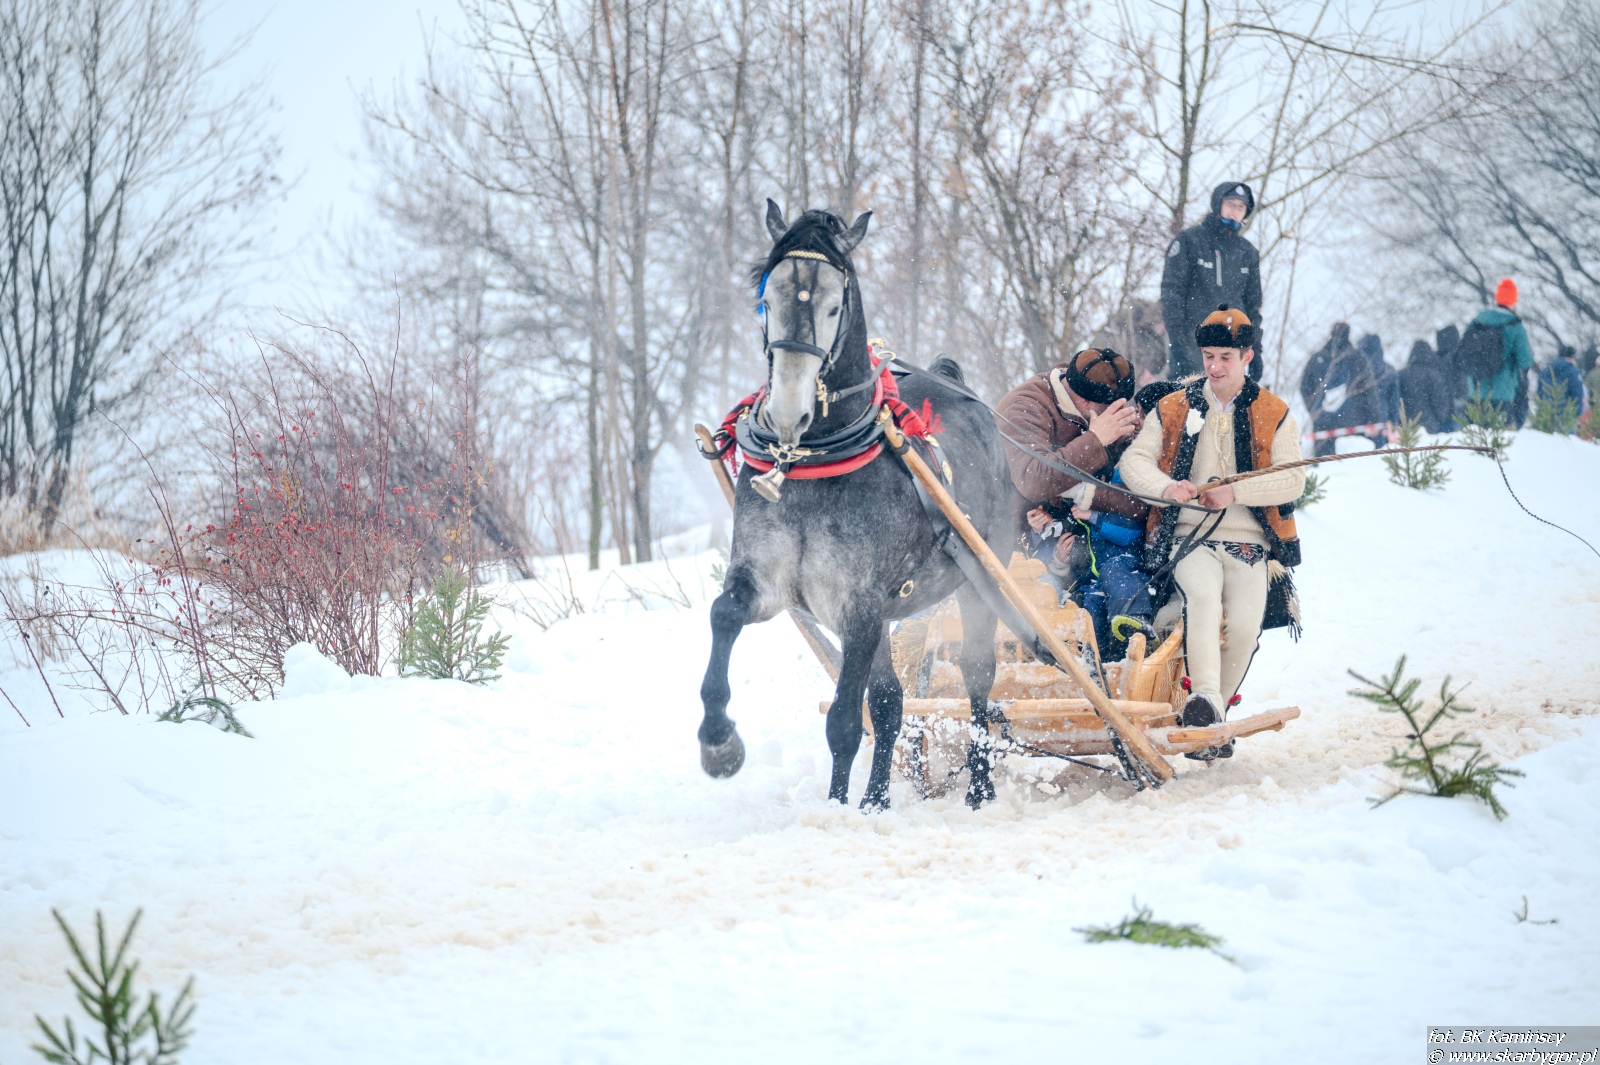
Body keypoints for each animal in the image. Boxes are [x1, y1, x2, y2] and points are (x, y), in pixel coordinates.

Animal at [695, 200, 1016, 810]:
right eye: (767, 301)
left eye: (832, 305)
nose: (788, 413)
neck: (814, 460)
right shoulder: (772, 584)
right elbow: (723, 613)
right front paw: (719, 742)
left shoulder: (861, 605)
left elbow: (845, 719)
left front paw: (838, 808)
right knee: (892, 702)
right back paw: (878, 799)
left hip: (980, 580)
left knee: (977, 675)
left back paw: (980, 786)